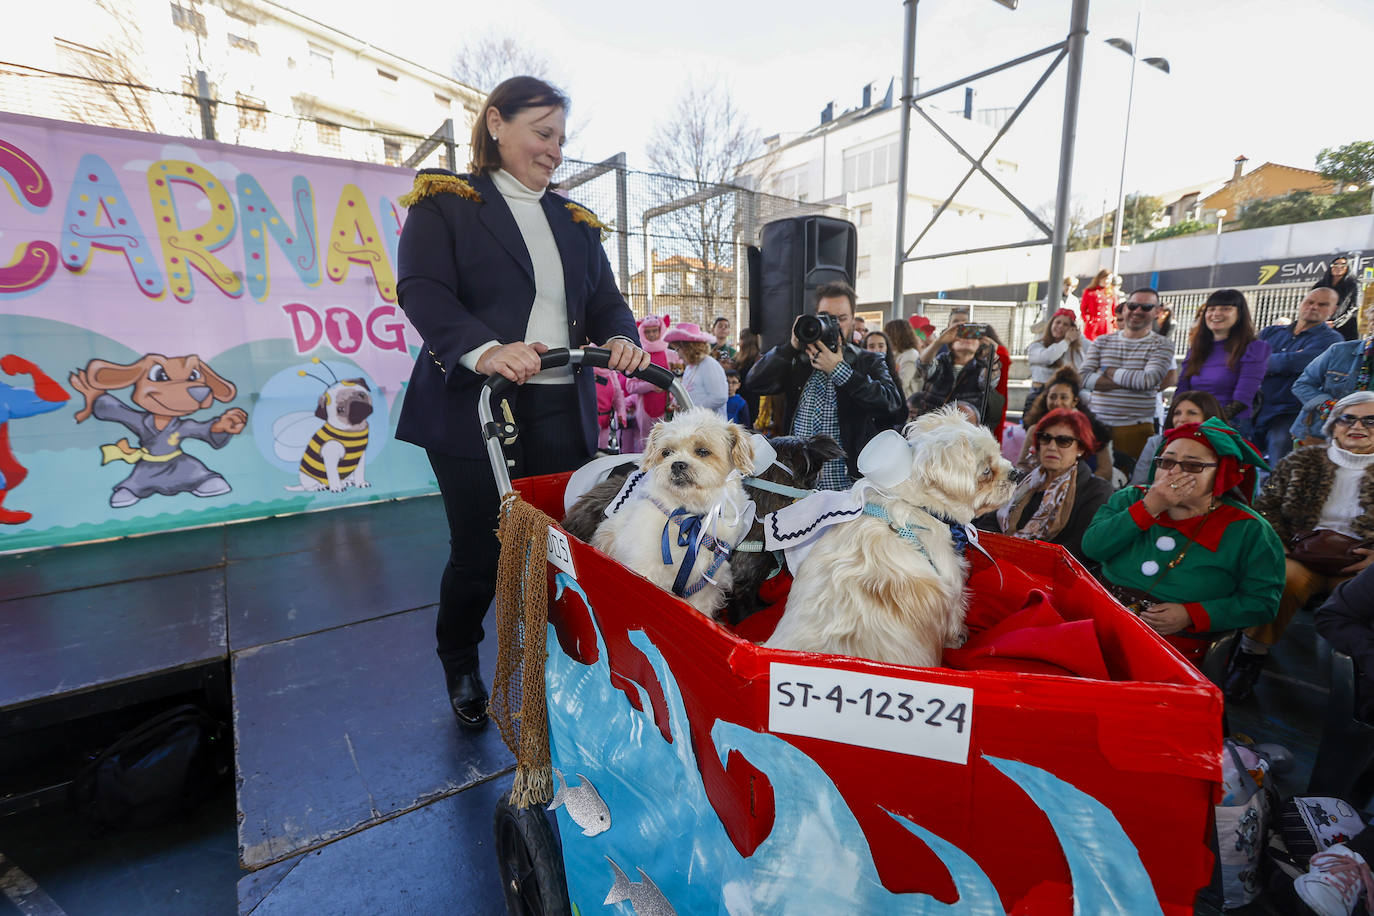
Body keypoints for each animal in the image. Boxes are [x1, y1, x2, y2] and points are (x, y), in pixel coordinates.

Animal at [593, 409, 758, 620]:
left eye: (703, 451)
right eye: (666, 453)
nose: (677, 464)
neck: (691, 516)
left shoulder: (704, 590)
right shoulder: (642, 567)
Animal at [769, 409, 1016, 667]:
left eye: (999, 454)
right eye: (986, 471)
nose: (1016, 473)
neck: (916, 505)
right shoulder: (952, 583)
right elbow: (955, 617)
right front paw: (958, 639)